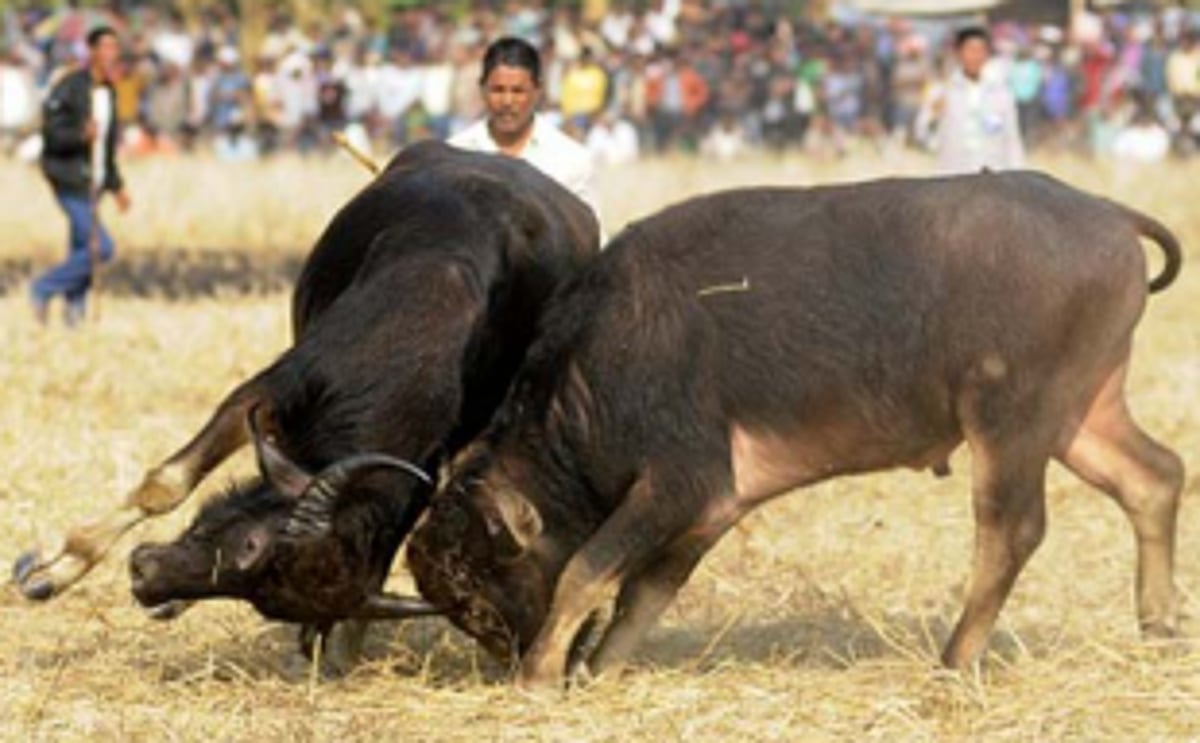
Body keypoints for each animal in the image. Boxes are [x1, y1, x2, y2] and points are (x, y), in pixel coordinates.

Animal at [13, 141, 599, 654]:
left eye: (266, 593)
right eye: (252, 545)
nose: (144, 579)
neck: (429, 296)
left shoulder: (430, 457)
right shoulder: (268, 391)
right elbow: (167, 486)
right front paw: (52, 575)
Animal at [405, 171, 1185, 690]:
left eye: (482, 581)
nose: (510, 656)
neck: (597, 371)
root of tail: (1107, 215)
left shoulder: (679, 482)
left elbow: (586, 570)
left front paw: (543, 676)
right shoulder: (712, 507)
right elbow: (641, 595)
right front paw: (597, 670)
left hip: (1011, 418)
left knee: (1011, 531)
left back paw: (954, 659)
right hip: (1080, 416)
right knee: (1155, 477)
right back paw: (1159, 626)